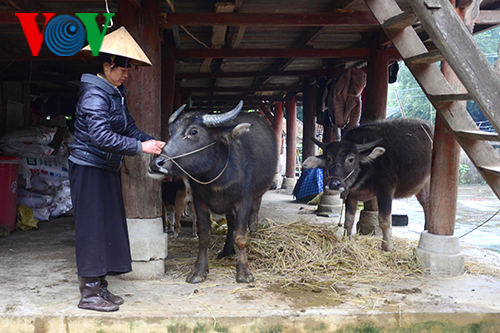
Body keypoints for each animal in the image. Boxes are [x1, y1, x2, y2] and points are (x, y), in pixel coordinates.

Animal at [146, 100, 280, 282]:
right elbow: (204, 235)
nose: (156, 164)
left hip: (258, 195)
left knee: (253, 218)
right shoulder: (199, 202)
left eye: (193, 132)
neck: (217, 178)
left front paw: (244, 272)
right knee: (230, 222)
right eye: (170, 132)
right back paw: (226, 251)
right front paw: (198, 271)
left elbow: (240, 236)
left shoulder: (243, 201)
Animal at [302, 118, 432, 250]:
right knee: (426, 205)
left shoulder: (386, 191)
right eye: (328, 158)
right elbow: (348, 220)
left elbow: (385, 222)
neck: (367, 169)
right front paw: (346, 239)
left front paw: (388, 246)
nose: (334, 184)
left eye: (351, 159)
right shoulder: (351, 195)